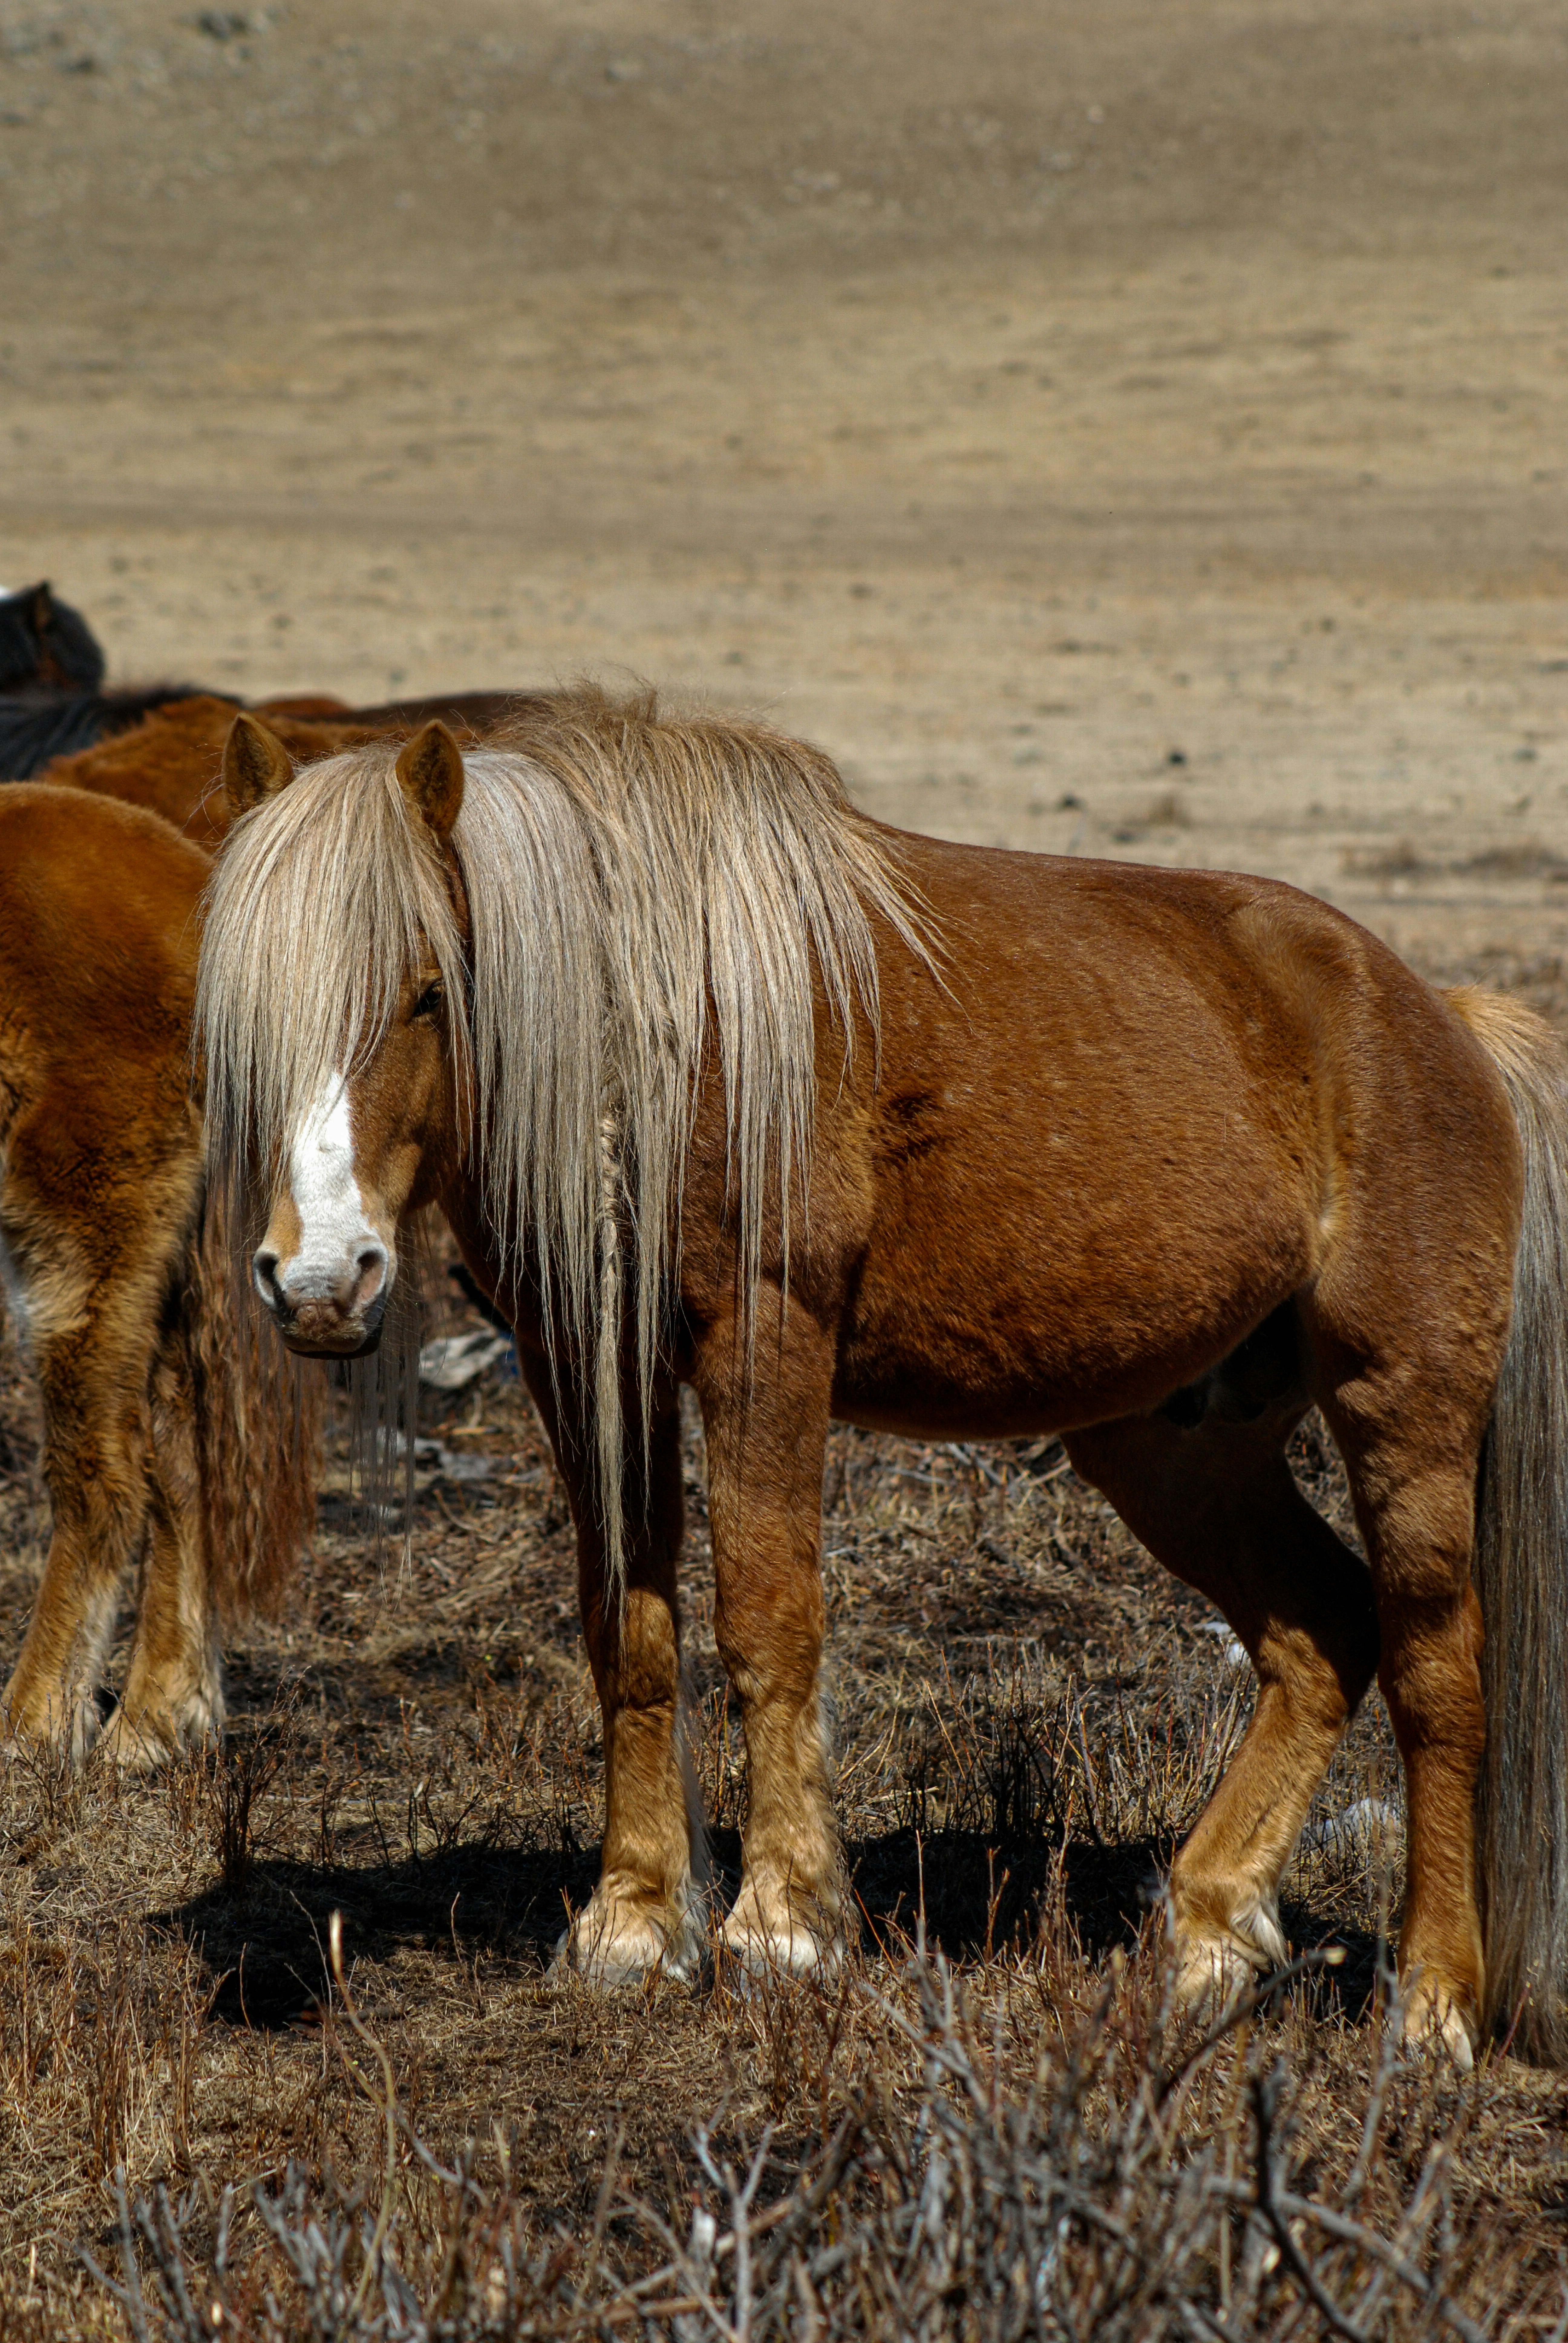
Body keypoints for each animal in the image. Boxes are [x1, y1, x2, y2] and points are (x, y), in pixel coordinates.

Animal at [194, 693, 1568, 2067]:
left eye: (427, 991)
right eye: (242, 1020)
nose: (320, 1280)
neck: (672, 1030)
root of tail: (1438, 1014)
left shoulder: (766, 1342)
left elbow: (766, 1620)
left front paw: (782, 1927)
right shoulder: (583, 1363)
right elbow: (627, 1631)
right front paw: (635, 1925)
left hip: (1401, 1406)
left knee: (1436, 1672)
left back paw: (1432, 2006)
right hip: (1172, 1444)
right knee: (1321, 1630)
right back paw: (1211, 1936)